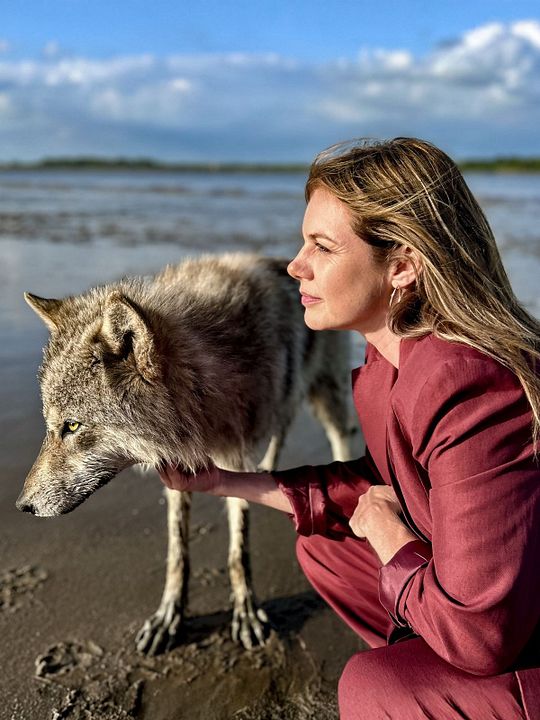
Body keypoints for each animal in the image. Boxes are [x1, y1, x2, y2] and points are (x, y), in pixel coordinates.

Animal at [17, 253, 352, 655]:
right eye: (52, 425)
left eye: (72, 426)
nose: (22, 506)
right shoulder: (180, 471)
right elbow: (178, 554)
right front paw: (169, 617)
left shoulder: (233, 459)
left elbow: (237, 551)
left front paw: (246, 612)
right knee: (281, 429)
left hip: (328, 394)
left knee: (339, 436)